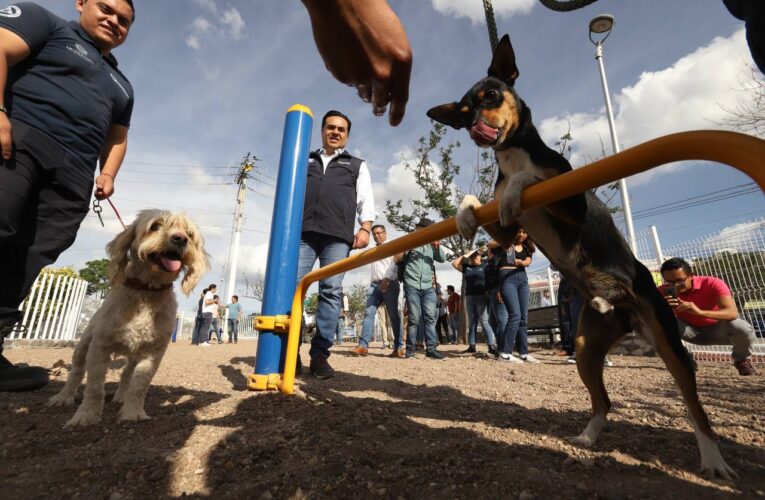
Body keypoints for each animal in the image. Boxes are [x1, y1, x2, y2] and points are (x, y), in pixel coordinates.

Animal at [49, 210, 207, 426]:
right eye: (155, 226)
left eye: (189, 234)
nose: (180, 238)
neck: (147, 291)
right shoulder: (99, 347)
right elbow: (94, 387)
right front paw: (86, 415)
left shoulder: (153, 353)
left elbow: (139, 386)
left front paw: (133, 412)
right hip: (83, 345)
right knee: (76, 372)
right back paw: (63, 397)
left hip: (135, 354)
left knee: (126, 374)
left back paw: (122, 397)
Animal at [430, 35, 736, 480]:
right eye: (464, 114)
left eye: (491, 95)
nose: (475, 129)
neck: (512, 155)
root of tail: (622, 310)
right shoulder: (507, 232)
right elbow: (481, 204)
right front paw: (466, 212)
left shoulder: (568, 205)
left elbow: (527, 181)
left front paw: (513, 189)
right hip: (586, 347)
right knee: (603, 401)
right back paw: (588, 438)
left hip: (668, 342)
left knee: (695, 407)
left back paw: (713, 459)